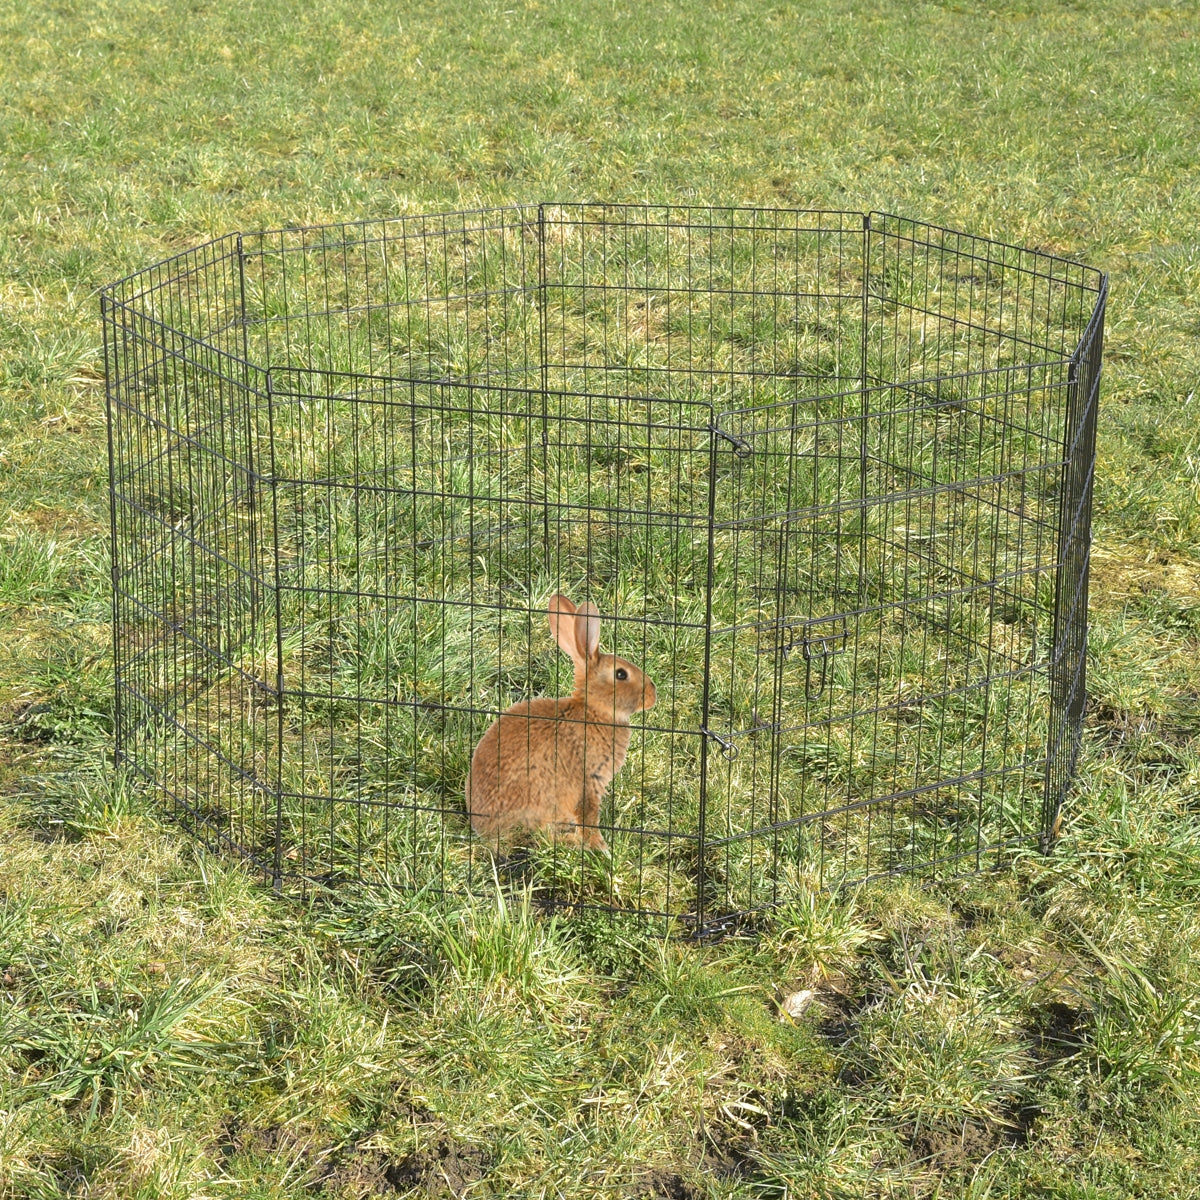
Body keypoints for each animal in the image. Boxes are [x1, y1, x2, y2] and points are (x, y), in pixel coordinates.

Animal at [465, 594, 656, 852]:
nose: (653, 694)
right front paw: (601, 848)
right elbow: (589, 818)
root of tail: (482, 828)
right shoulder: (588, 782)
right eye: (620, 674)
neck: (594, 711)